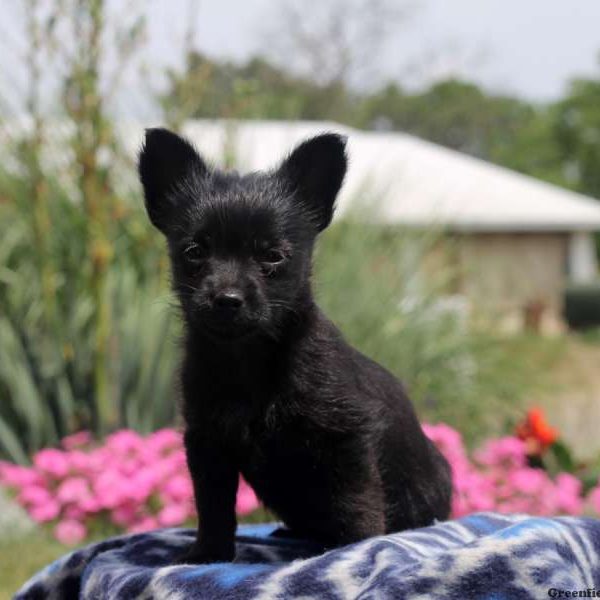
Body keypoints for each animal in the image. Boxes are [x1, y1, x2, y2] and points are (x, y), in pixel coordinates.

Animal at [139, 129, 450, 564]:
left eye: (273, 255)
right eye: (195, 252)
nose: (227, 299)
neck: (247, 359)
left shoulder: (347, 439)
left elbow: (357, 503)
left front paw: (358, 549)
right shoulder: (208, 443)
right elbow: (213, 507)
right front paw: (207, 555)